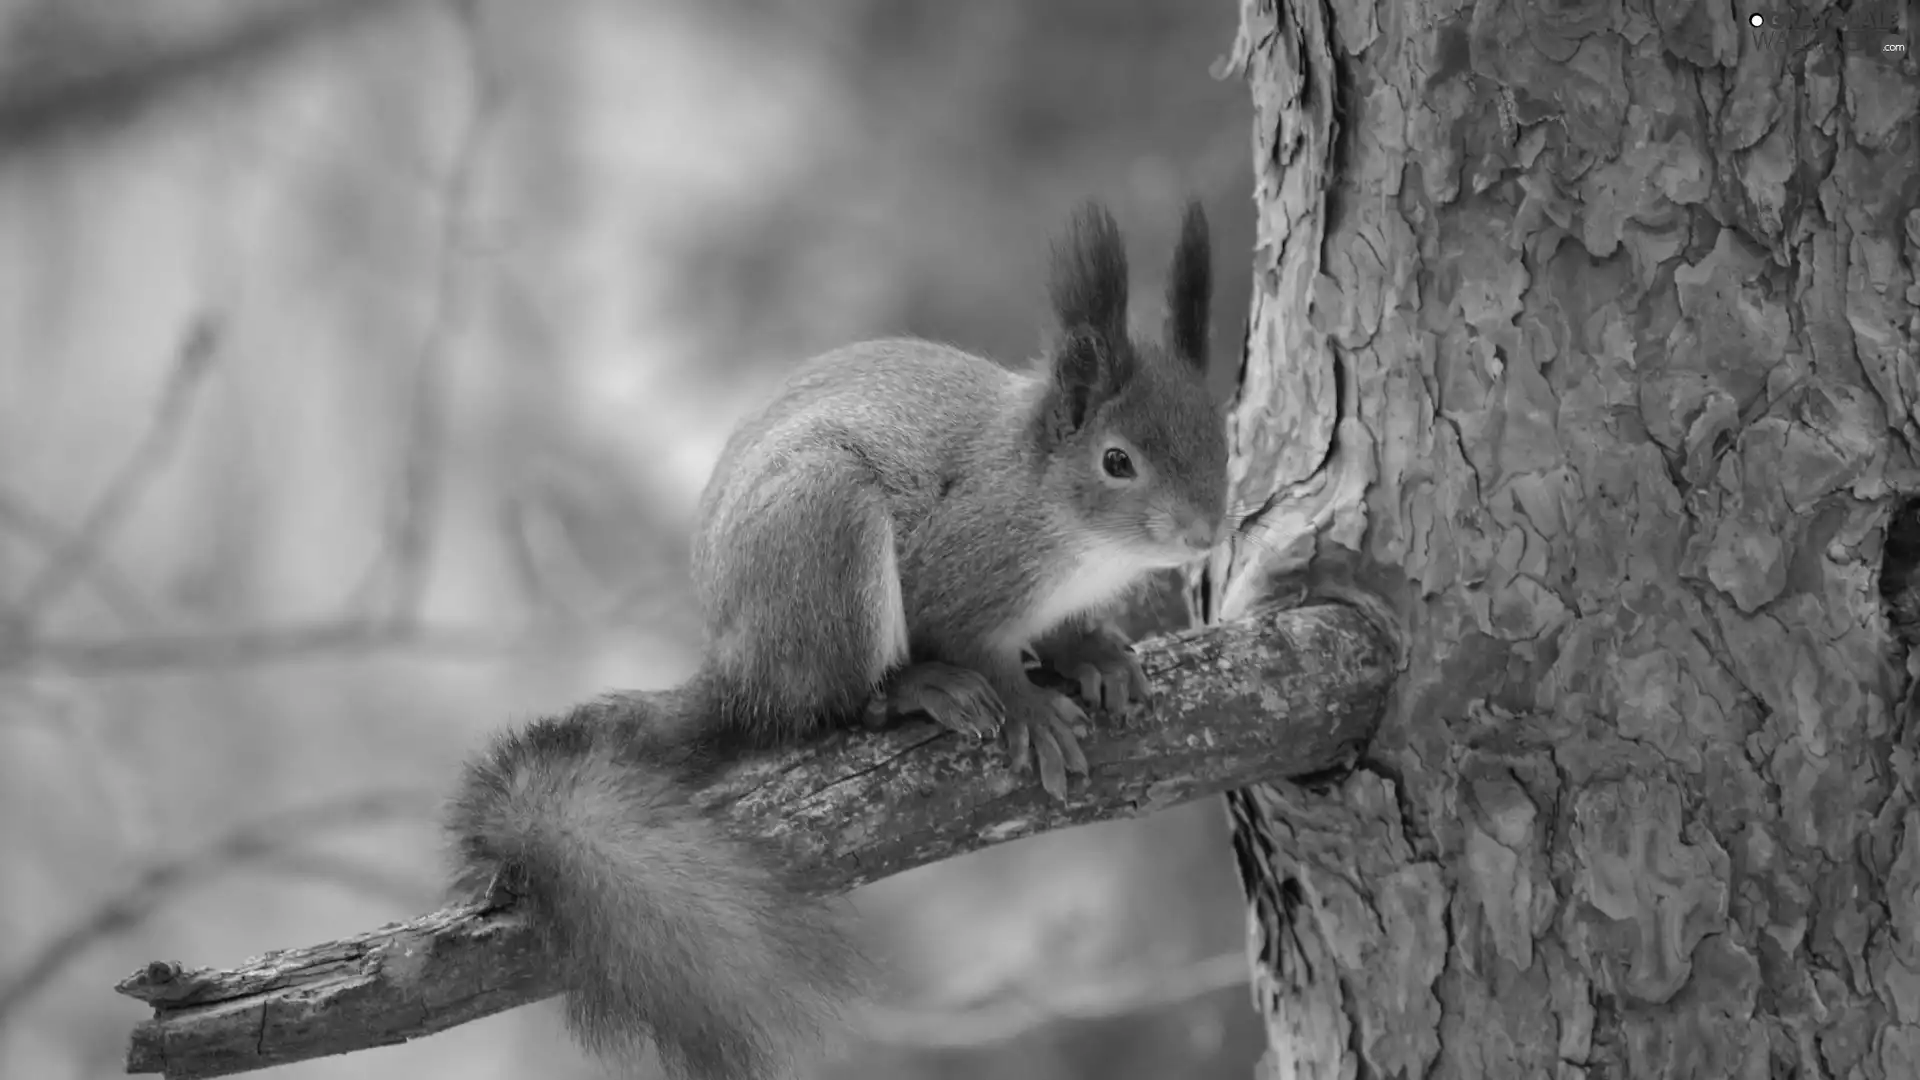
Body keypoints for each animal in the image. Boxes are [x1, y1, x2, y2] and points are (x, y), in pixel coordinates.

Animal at [445, 199, 1228, 1076]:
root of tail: (740, 669)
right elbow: (971, 640)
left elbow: (1064, 633)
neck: (1070, 528)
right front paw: (1028, 705)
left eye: (1221, 433)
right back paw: (914, 691)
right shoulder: (961, 564)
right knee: (838, 705)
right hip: (825, 531)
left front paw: (1093, 655)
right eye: (1117, 461)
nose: (1206, 533)